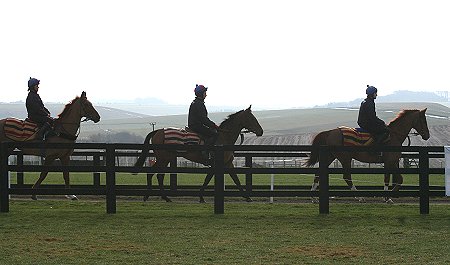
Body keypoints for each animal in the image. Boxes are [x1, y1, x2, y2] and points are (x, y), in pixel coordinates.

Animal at [132, 105, 264, 202]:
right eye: (252, 118)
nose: (261, 131)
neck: (223, 137)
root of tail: (157, 131)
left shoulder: (227, 164)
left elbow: (235, 179)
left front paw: (247, 197)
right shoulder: (216, 164)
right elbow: (208, 179)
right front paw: (201, 197)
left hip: (164, 159)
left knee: (155, 174)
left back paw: (154, 196)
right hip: (164, 158)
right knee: (157, 174)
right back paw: (162, 197)